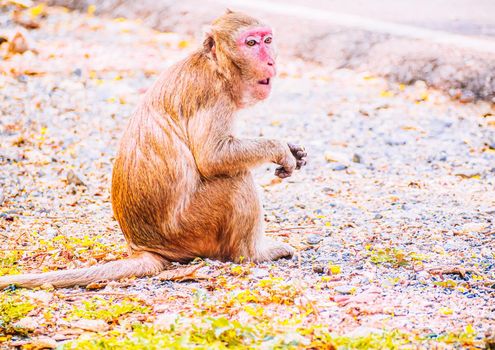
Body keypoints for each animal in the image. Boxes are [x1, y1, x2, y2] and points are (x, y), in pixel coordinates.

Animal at [0, 10, 306, 290]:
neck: (216, 65)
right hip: (190, 228)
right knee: (235, 179)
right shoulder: (213, 93)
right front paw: (279, 148)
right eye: (251, 43)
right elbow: (213, 157)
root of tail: (142, 247)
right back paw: (254, 253)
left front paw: (294, 149)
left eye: (267, 40)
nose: (271, 60)